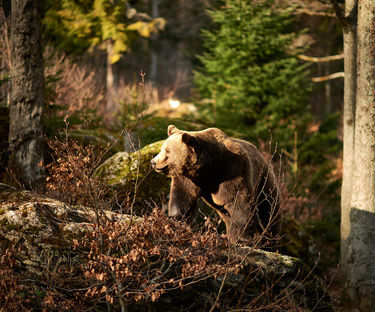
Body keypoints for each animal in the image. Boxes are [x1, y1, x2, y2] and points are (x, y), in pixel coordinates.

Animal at [151, 125, 280, 246]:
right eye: (162, 148)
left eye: (167, 151)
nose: (153, 162)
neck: (207, 169)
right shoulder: (187, 178)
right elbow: (182, 197)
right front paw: (174, 219)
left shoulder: (233, 170)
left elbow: (239, 201)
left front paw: (243, 238)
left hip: (264, 183)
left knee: (268, 212)